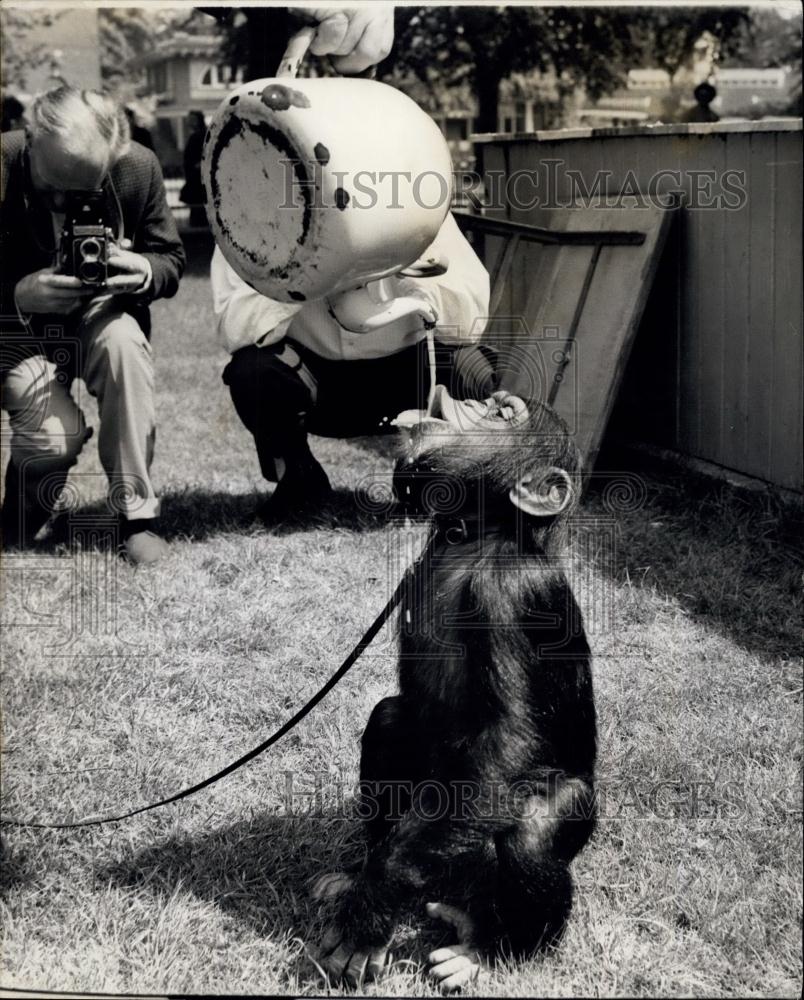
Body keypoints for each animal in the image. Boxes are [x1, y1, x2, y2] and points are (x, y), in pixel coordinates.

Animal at [314, 384, 596, 992]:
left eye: (504, 413)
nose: (479, 398)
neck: (473, 534)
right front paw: (366, 890)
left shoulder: (514, 595)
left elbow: (510, 739)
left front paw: (372, 911)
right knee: (388, 724)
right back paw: (361, 875)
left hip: (554, 811)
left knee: (533, 833)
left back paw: (489, 948)